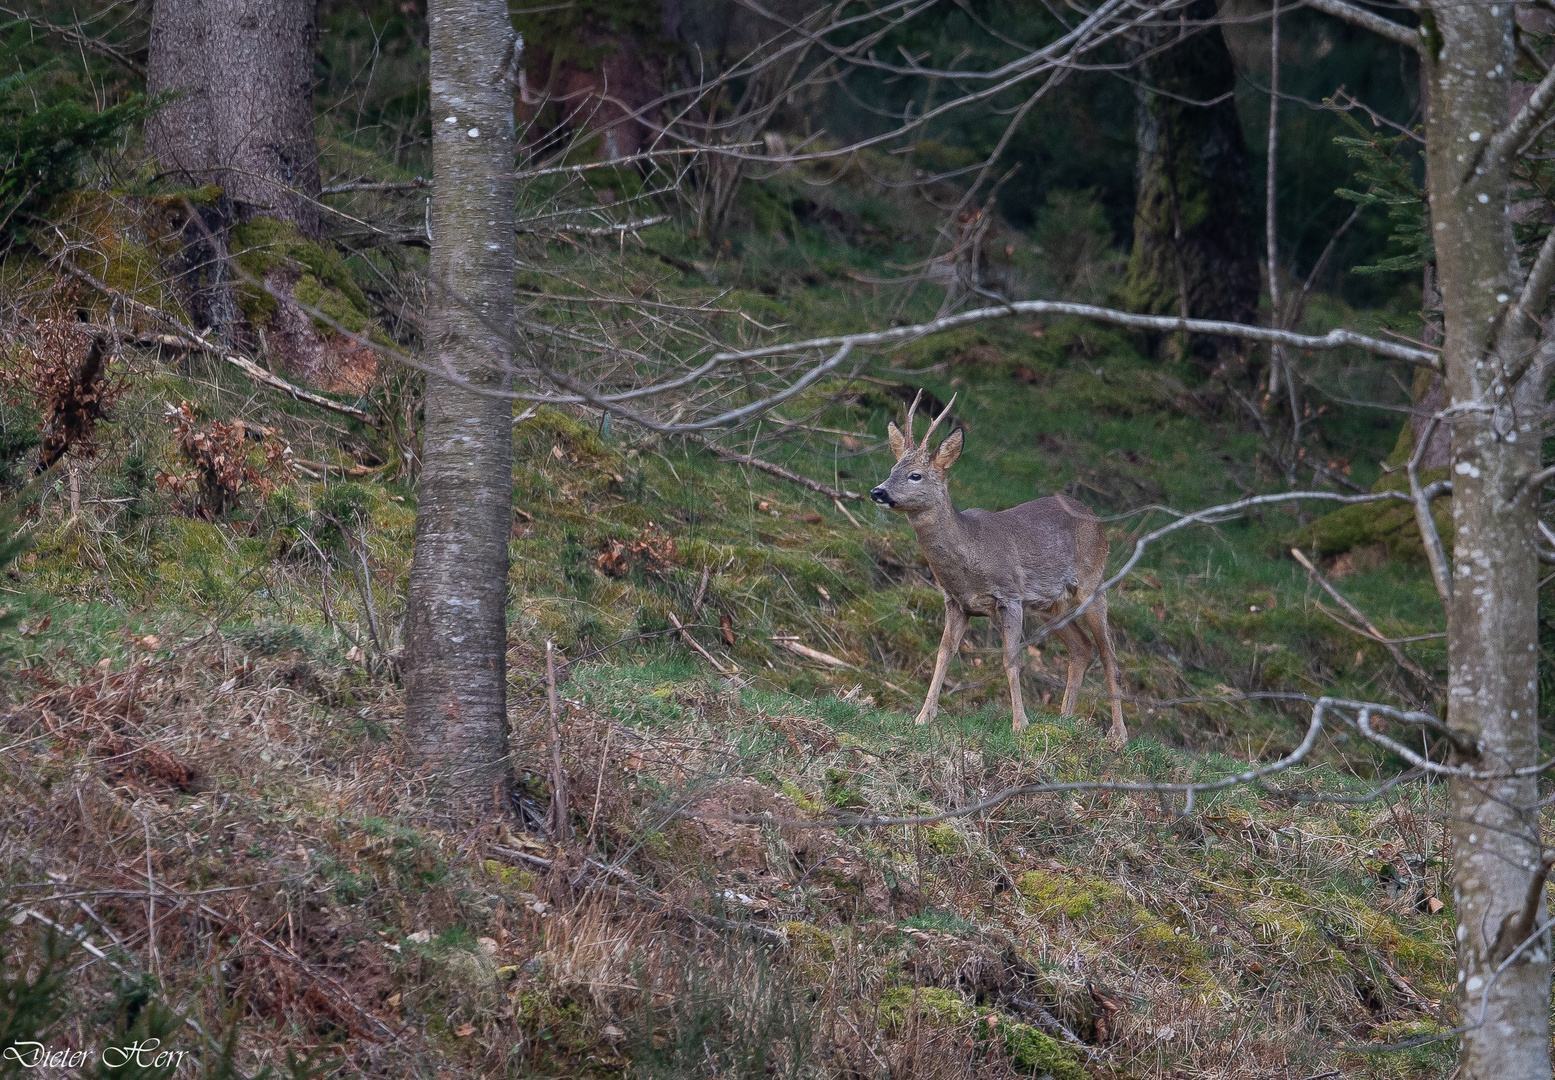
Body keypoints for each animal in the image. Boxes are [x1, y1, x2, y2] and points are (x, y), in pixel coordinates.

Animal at [870, 394, 1125, 742]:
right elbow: (943, 653)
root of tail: (1098, 520)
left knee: (1109, 652)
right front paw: (923, 718)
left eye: (915, 476)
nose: (878, 491)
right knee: (1081, 646)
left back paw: (1119, 733)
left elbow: (1011, 659)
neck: (970, 554)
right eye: (893, 469)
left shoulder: (1009, 596)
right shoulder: (956, 602)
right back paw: (1064, 720)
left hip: (1092, 580)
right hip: (1050, 603)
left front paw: (1020, 724)